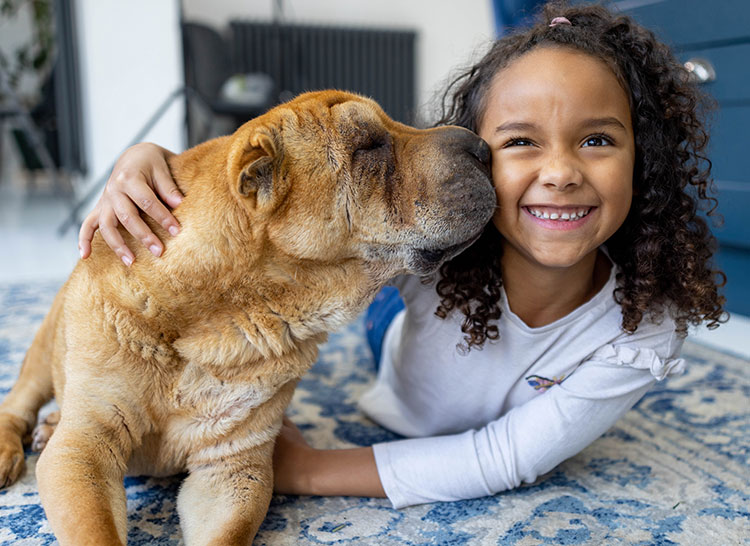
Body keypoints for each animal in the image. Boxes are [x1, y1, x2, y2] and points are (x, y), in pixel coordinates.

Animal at [0, 89, 496, 540]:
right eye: (369, 145)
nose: (482, 147)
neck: (227, 316)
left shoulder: (235, 468)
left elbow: (227, 533)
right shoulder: (82, 453)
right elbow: (95, 528)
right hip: (45, 345)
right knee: (19, 402)